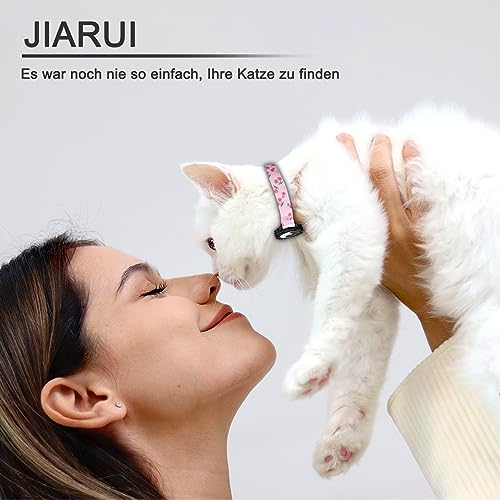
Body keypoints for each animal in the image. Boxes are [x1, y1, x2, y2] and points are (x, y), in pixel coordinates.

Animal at [180, 104, 500, 478]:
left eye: (211, 244)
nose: (219, 278)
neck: (295, 180)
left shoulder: (352, 236)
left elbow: (330, 314)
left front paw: (309, 369)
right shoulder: (372, 299)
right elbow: (358, 376)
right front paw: (342, 439)